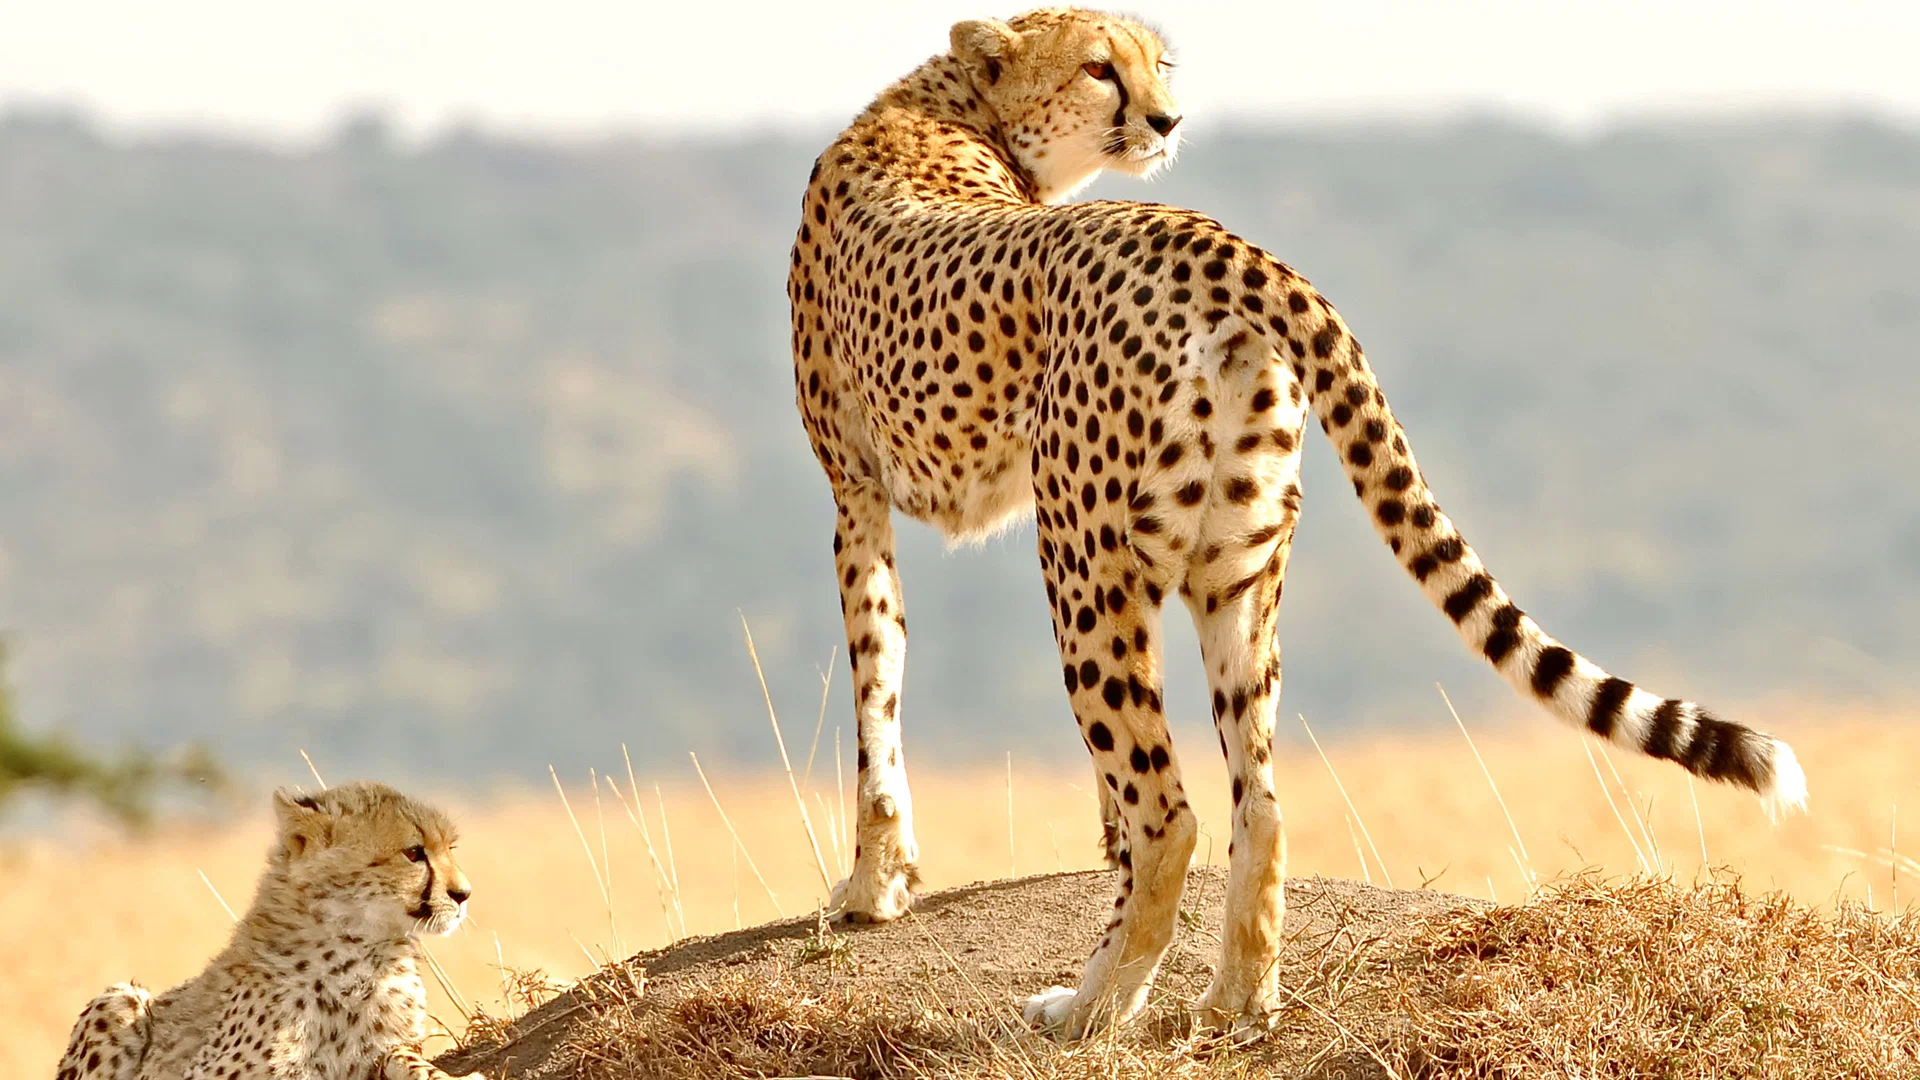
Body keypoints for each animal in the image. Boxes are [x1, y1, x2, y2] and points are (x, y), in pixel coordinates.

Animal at [55, 781, 483, 1080]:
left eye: (451, 849)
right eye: (413, 853)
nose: (464, 894)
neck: (364, 952)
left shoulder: (386, 1049)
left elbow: (406, 1059)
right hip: (119, 997)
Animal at [788, 6, 1808, 1038]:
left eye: (1158, 64)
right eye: (1099, 68)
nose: (1167, 119)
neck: (954, 109)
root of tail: (1203, 234)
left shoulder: (854, 493)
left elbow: (877, 684)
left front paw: (872, 886)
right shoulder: (867, 492)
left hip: (1083, 561)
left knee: (1173, 813)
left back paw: (1092, 1006)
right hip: (1235, 569)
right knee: (1260, 803)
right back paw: (1238, 999)